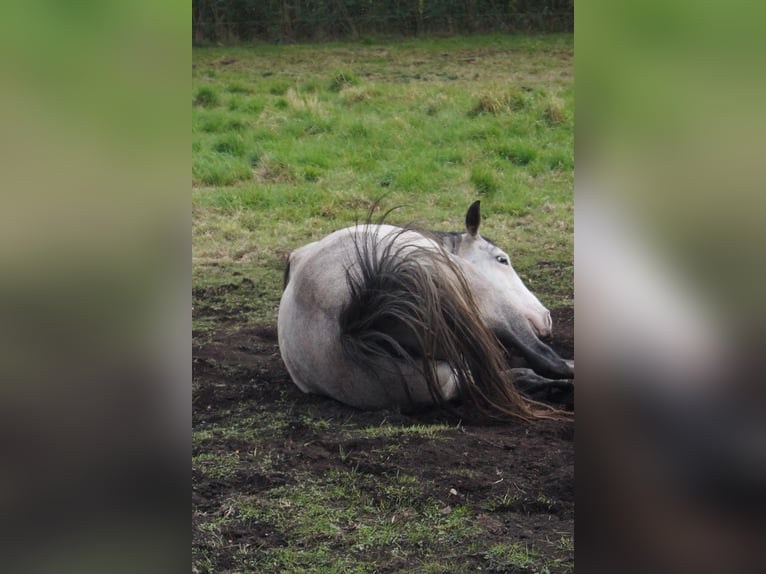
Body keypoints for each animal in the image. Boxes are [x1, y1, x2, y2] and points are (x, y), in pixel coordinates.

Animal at [277, 201, 574, 419]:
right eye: (502, 260)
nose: (545, 318)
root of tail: (352, 322)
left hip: (441, 379)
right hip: (495, 309)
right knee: (544, 360)